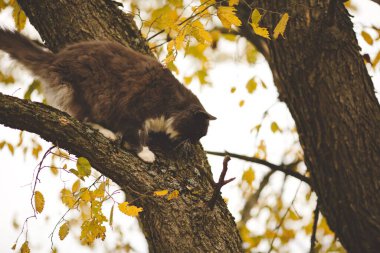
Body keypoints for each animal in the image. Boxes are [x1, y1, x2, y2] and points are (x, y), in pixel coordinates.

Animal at [0, 29, 215, 163]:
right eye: (197, 132)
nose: (194, 143)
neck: (172, 103)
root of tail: (57, 57)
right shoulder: (134, 110)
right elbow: (136, 135)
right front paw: (144, 153)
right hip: (92, 95)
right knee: (82, 119)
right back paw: (107, 132)